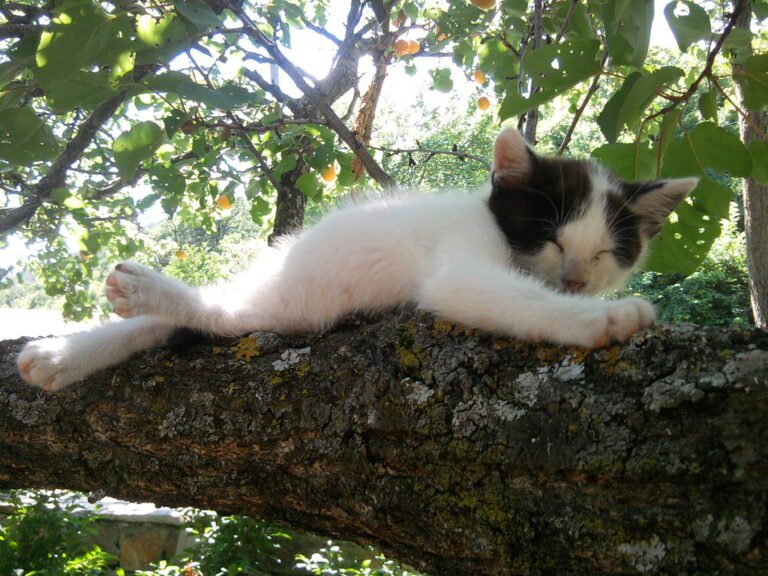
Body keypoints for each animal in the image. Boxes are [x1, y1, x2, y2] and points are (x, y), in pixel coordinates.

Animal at [15, 128, 700, 392]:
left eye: (607, 253)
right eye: (553, 240)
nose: (576, 281)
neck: (490, 221)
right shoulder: (459, 263)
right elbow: (500, 294)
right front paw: (607, 319)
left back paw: (61, 354)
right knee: (222, 315)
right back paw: (142, 292)